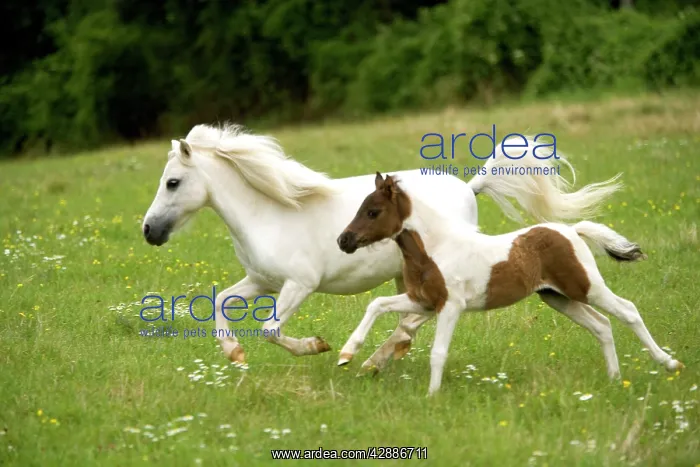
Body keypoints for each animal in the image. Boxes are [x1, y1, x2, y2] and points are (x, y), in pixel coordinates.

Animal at [142, 123, 621, 367]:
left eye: (173, 182)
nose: (149, 231)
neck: (269, 214)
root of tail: (470, 188)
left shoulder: (298, 285)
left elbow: (271, 330)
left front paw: (318, 347)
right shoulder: (261, 282)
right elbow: (220, 302)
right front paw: (235, 355)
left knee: (414, 320)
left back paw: (373, 358)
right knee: (411, 319)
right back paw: (380, 357)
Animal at [336, 173, 684, 395]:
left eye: (373, 211)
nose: (343, 240)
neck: (436, 248)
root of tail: (571, 231)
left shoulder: (450, 306)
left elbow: (438, 351)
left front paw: (432, 396)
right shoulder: (423, 301)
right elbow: (377, 304)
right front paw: (346, 353)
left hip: (587, 287)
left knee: (628, 311)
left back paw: (669, 363)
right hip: (558, 297)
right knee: (601, 325)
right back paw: (614, 377)